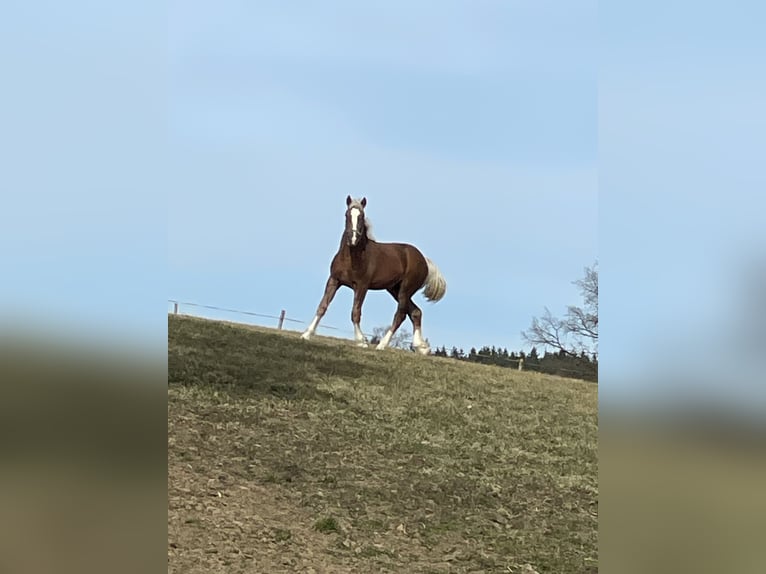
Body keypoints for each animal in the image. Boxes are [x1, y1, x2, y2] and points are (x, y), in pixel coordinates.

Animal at [298, 196, 444, 354]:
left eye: (361, 216)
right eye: (347, 215)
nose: (353, 239)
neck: (351, 258)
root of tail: (425, 261)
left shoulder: (362, 286)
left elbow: (355, 312)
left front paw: (362, 342)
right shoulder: (334, 281)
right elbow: (322, 306)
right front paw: (306, 335)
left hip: (405, 290)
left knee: (401, 315)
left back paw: (382, 345)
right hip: (394, 289)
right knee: (416, 312)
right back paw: (421, 348)